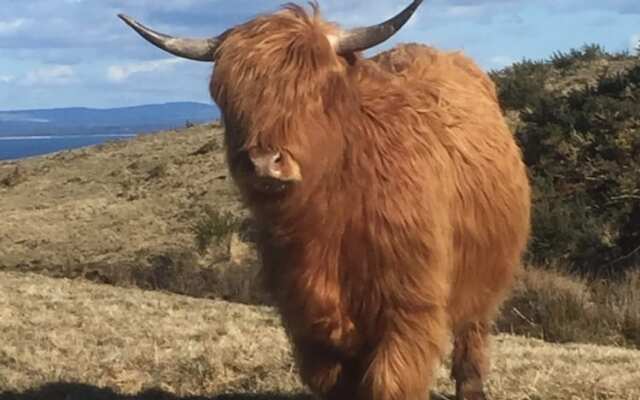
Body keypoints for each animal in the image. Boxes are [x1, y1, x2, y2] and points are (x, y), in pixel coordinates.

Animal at [119, 1, 528, 398]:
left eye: (313, 89)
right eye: (227, 96)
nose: (264, 162)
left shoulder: (409, 313)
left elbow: (390, 384)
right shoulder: (308, 322)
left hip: (483, 286)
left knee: (472, 345)